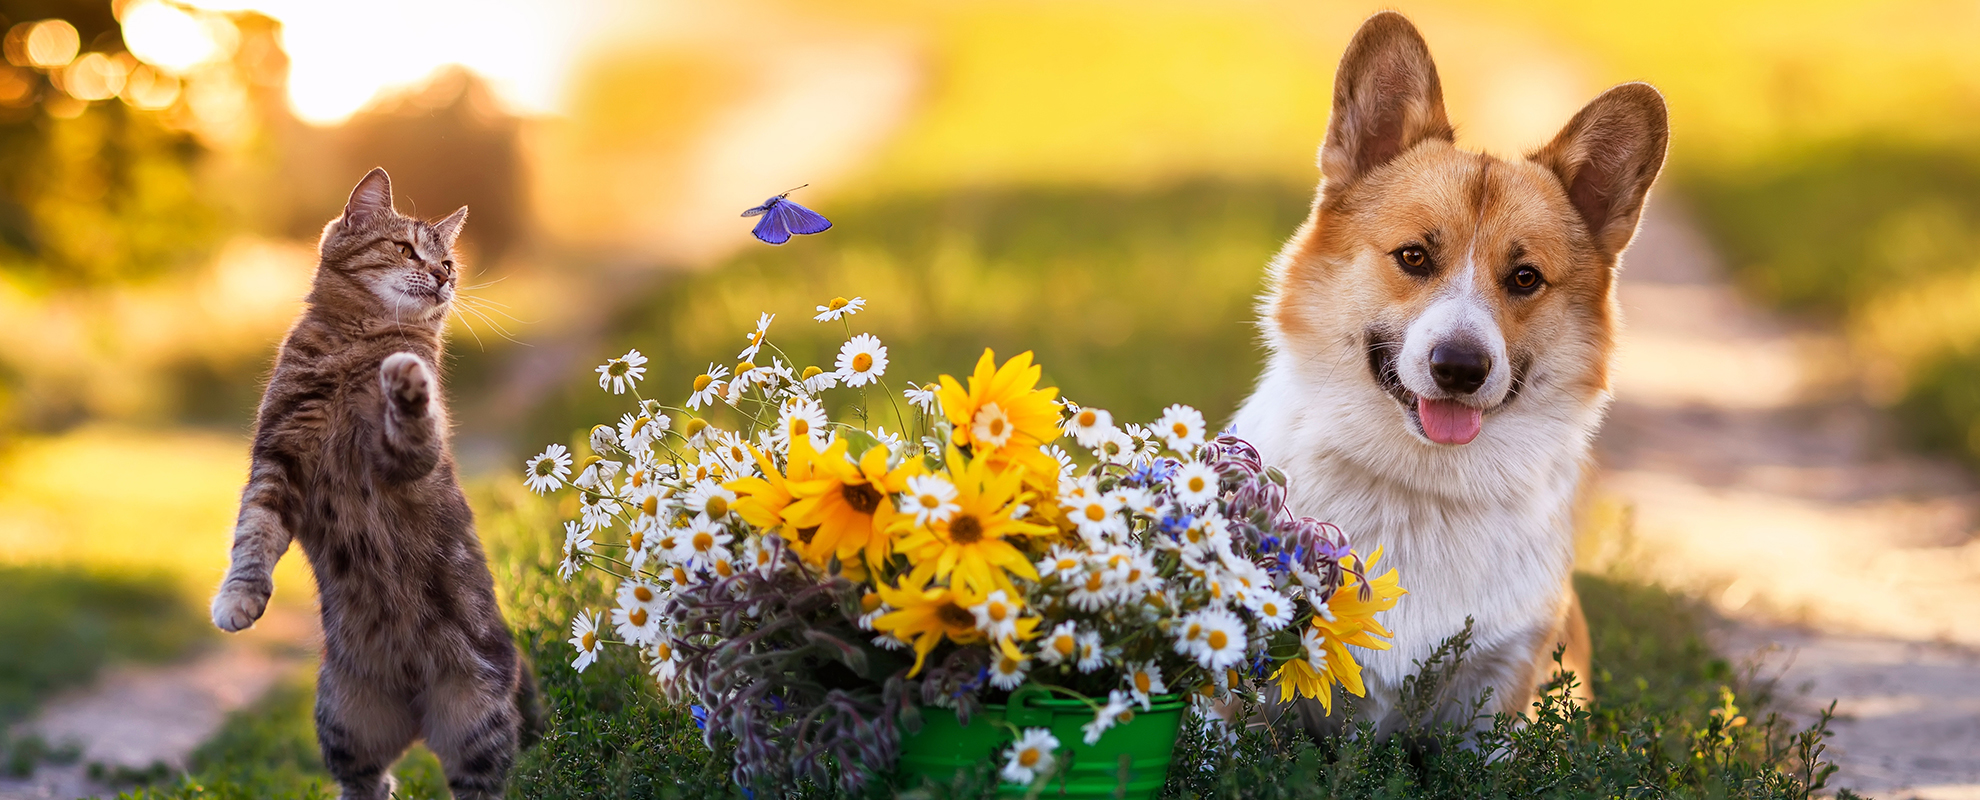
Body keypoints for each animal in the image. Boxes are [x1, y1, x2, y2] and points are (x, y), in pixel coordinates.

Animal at [210, 168, 542, 800]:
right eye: (407, 249)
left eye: (449, 261)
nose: (443, 276)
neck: (356, 346)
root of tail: (411, 698)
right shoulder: (276, 462)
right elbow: (252, 537)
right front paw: (239, 599)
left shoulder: (407, 460)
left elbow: (410, 415)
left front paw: (404, 376)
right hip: (346, 721)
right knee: (371, 783)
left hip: (475, 724)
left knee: (478, 784)